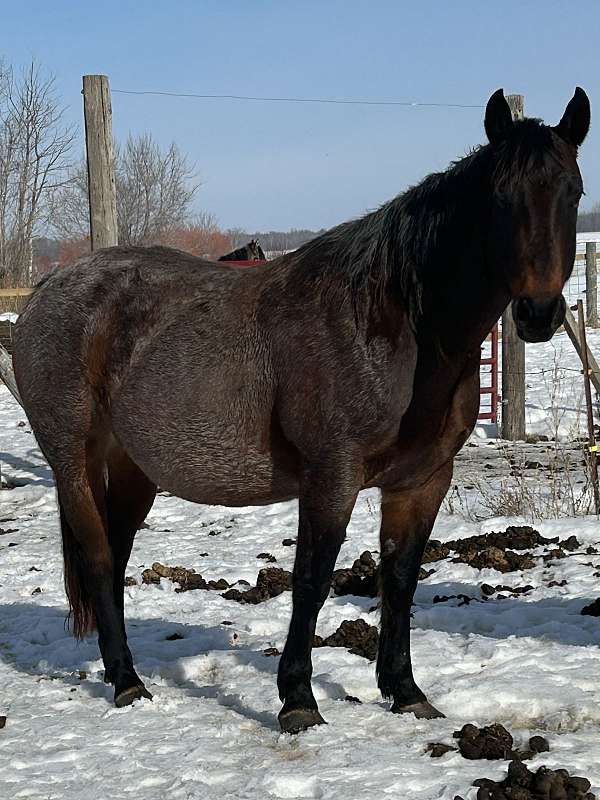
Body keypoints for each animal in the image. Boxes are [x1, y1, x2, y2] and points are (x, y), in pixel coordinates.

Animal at [12, 88, 590, 734]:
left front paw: (406, 691)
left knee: (114, 558)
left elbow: (400, 580)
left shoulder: (422, 481)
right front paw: (298, 700)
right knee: (98, 559)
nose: (538, 312)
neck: (393, 321)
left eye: (573, 191)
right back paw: (128, 684)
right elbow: (311, 581)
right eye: (501, 198)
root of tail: (48, 289)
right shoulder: (331, 475)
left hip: (135, 470)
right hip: (74, 462)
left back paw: (122, 673)